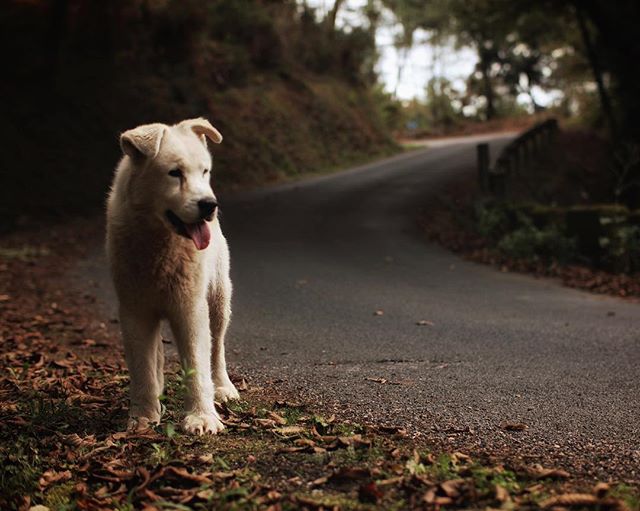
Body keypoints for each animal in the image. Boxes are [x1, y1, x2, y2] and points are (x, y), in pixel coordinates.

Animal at [106, 119, 239, 436]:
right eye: (175, 173)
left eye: (205, 172)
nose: (209, 205)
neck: (161, 244)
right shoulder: (135, 310)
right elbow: (141, 367)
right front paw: (143, 417)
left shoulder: (190, 307)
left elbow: (197, 365)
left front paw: (202, 418)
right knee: (155, 355)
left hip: (218, 300)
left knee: (217, 348)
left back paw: (223, 387)